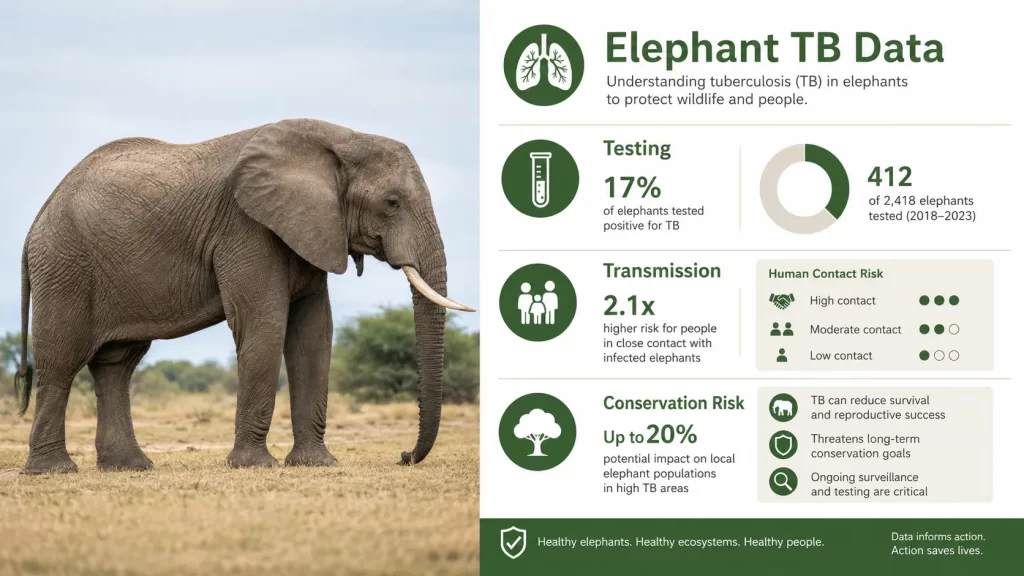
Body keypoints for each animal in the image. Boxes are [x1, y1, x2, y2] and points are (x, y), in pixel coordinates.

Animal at [12, 119, 474, 474]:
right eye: (392, 203)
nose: (403, 455)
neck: (341, 138)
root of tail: (37, 219)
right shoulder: (246, 228)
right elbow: (265, 323)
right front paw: (254, 465)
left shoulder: (310, 229)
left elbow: (314, 333)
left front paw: (316, 464)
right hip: (65, 266)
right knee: (60, 364)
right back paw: (54, 471)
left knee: (116, 366)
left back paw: (130, 467)